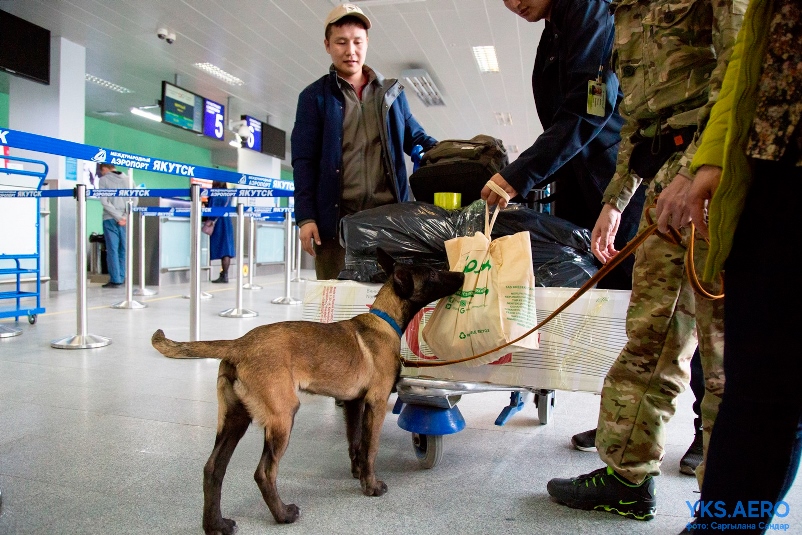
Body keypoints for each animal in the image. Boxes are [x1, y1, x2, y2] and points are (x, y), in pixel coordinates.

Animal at [150, 249, 462, 532]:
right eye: (432, 274)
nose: (460, 274)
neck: (384, 320)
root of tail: (238, 344)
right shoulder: (374, 402)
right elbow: (370, 448)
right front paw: (371, 486)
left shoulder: (353, 404)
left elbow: (356, 444)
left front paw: (359, 474)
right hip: (282, 417)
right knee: (264, 472)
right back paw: (283, 515)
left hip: (235, 420)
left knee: (213, 469)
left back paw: (215, 524)